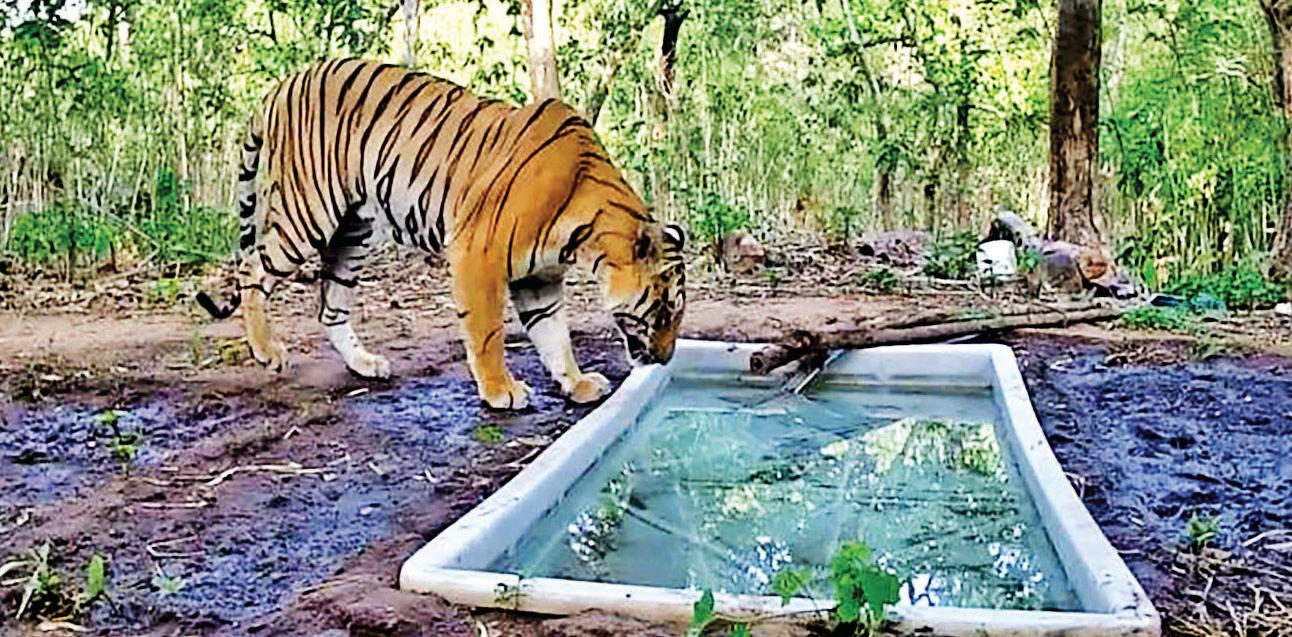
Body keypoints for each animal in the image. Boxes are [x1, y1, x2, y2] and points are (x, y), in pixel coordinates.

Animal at [196, 58, 687, 410]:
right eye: (663, 310)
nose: (665, 360)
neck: (585, 239)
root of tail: (283, 83)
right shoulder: (478, 254)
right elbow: (488, 332)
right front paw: (501, 391)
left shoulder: (539, 278)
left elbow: (554, 335)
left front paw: (577, 383)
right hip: (309, 214)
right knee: (252, 268)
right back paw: (267, 350)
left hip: (354, 230)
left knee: (330, 305)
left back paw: (365, 364)